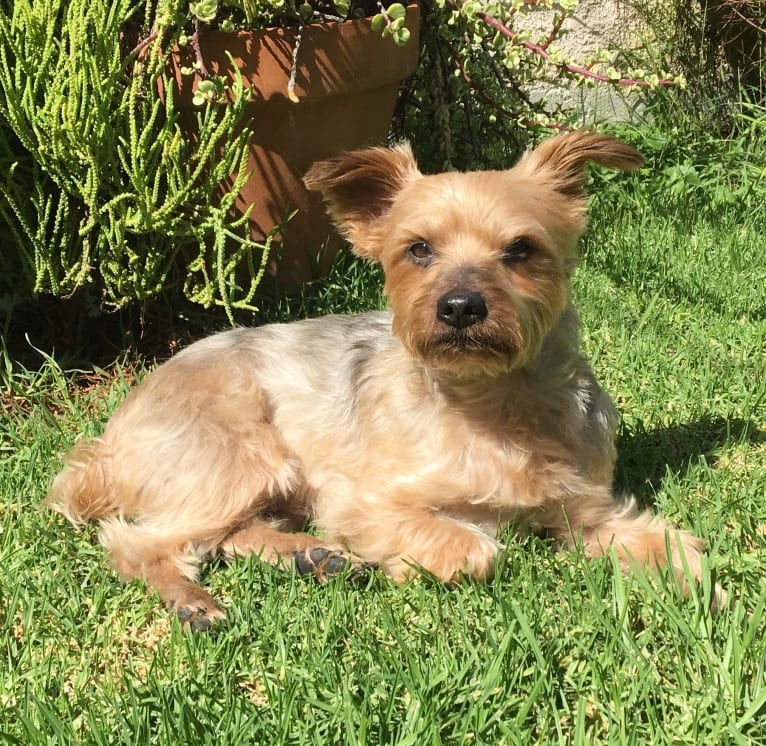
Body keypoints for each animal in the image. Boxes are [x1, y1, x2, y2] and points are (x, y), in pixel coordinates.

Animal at [48, 131, 716, 624]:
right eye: (418, 249)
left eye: (522, 249)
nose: (460, 307)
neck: (491, 402)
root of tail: (108, 441)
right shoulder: (361, 498)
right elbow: (475, 547)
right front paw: (425, 557)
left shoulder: (587, 507)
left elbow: (671, 546)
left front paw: (697, 585)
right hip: (237, 457)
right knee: (139, 543)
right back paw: (193, 600)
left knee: (229, 533)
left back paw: (309, 555)